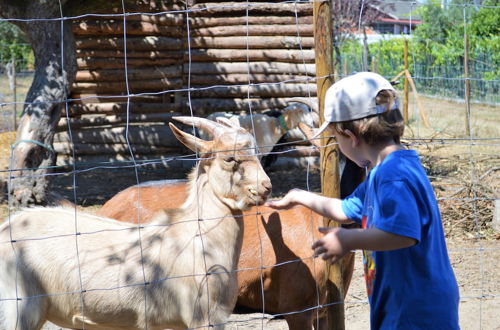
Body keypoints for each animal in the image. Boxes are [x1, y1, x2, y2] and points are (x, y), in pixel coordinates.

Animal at [0, 116, 270, 330]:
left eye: (257, 154)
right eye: (230, 158)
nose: (265, 188)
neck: (198, 236)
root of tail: (7, 227)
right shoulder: (202, 317)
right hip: (21, 306)